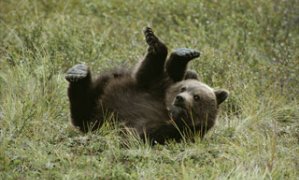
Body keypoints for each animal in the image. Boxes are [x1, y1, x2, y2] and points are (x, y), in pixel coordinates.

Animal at [66, 26, 230, 144]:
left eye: (197, 97)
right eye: (183, 88)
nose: (180, 98)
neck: (168, 112)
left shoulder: (172, 131)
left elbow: (141, 133)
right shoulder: (154, 89)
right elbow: (148, 75)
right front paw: (155, 42)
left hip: (97, 116)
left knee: (83, 111)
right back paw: (78, 73)